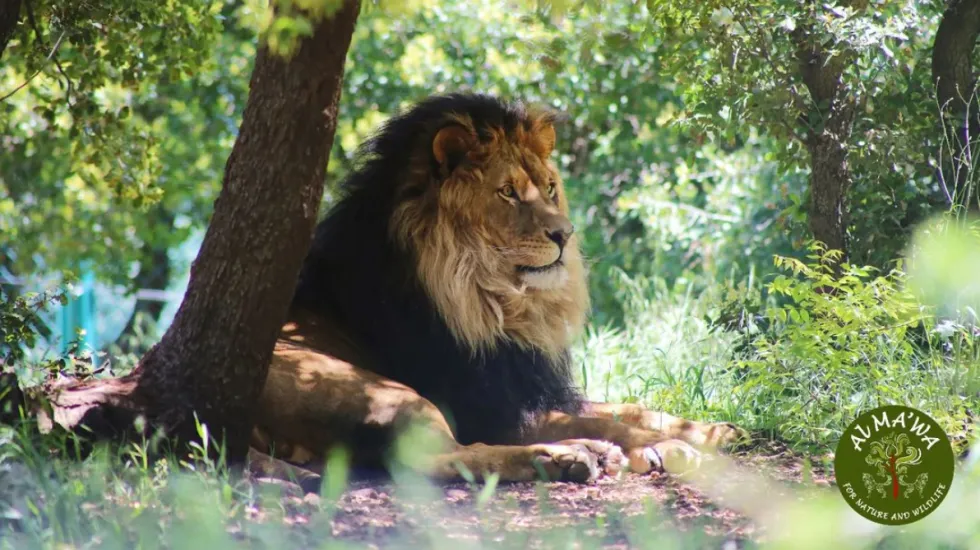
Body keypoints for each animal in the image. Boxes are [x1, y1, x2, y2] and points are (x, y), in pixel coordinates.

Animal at [248, 93, 746, 486]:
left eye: (550, 187)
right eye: (507, 192)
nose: (565, 234)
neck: (501, 303)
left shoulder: (533, 387)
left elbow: (626, 409)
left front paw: (715, 431)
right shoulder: (490, 410)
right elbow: (611, 421)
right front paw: (670, 448)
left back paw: (588, 453)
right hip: (376, 389)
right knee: (441, 459)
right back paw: (563, 457)